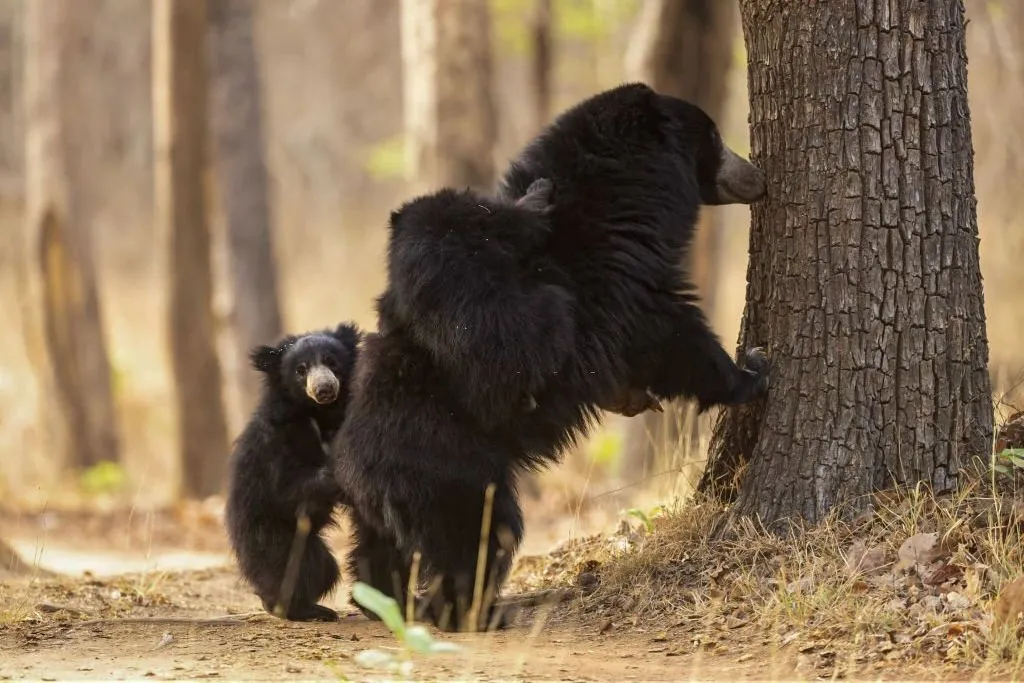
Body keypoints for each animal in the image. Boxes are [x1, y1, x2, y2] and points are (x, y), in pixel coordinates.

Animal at [333, 82, 770, 634]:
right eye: (712, 137)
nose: (757, 178)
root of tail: (356, 466)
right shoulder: (623, 277)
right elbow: (672, 332)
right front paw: (753, 369)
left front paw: (637, 396)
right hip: (451, 467)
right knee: (479, 535)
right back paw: (474, 610)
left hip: (383, 501)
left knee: (378, 551)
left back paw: (384, 597)